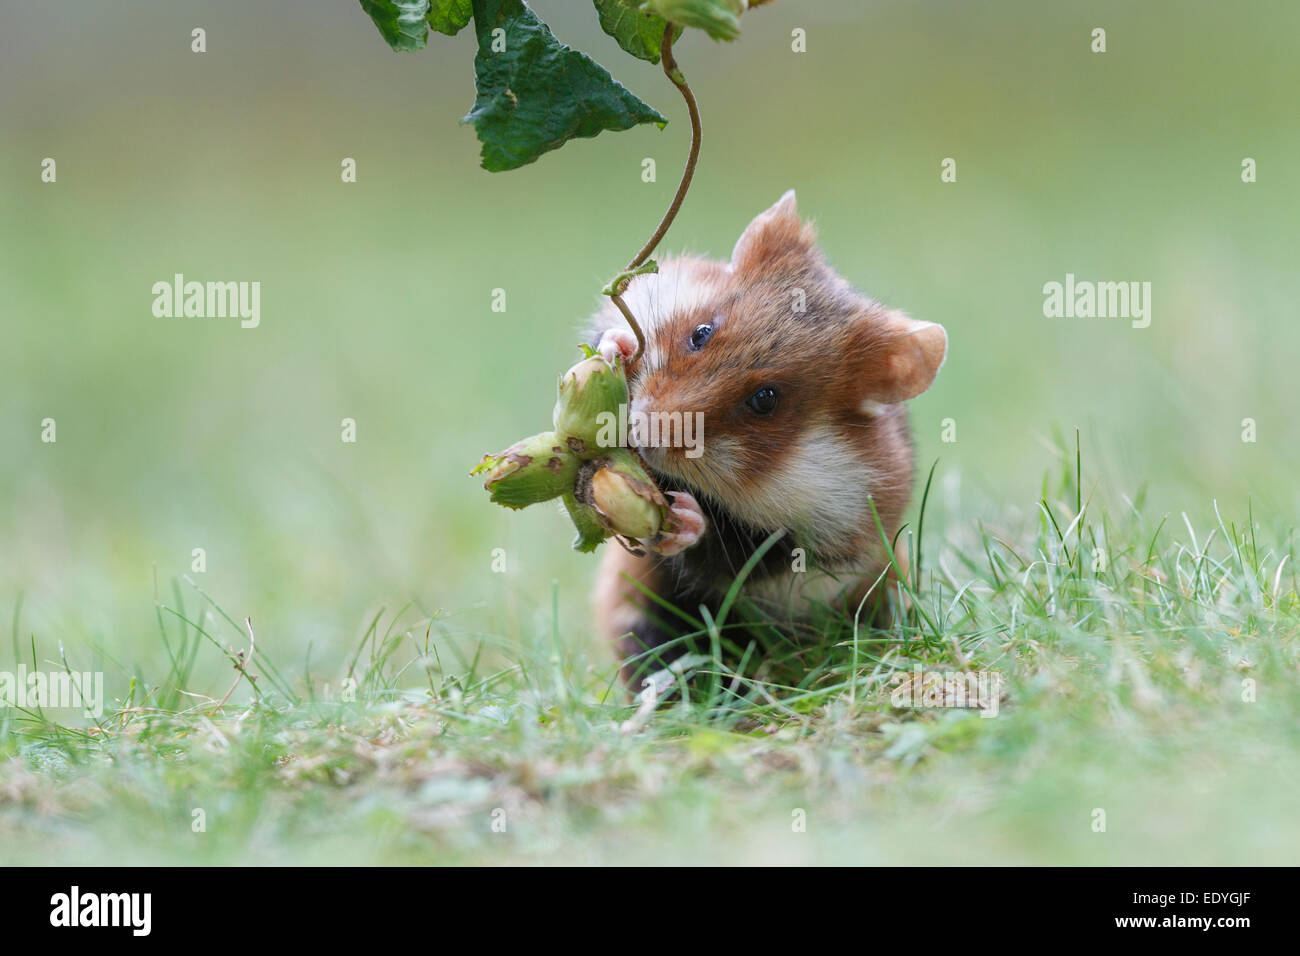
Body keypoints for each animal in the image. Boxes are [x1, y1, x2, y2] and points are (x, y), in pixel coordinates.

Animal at [584, 191, 947, 686]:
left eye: (765, 399)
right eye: (701, 332)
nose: (641, 432)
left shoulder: (822, 552)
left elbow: (736, 555)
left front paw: (685, 519)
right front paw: (615, 349)